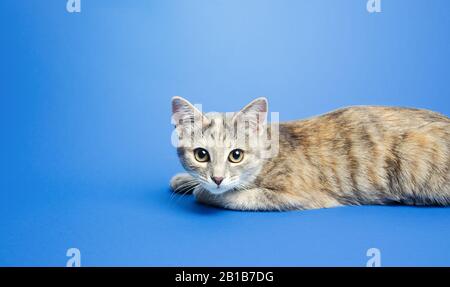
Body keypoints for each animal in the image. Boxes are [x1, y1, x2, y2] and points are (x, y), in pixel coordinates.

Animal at [170, 97, 450, 212]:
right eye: (201, 155)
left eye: (235, 155)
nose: (217, 179)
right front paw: (184, 180)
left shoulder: (300, 196)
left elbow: (228, 196)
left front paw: (203, 190)